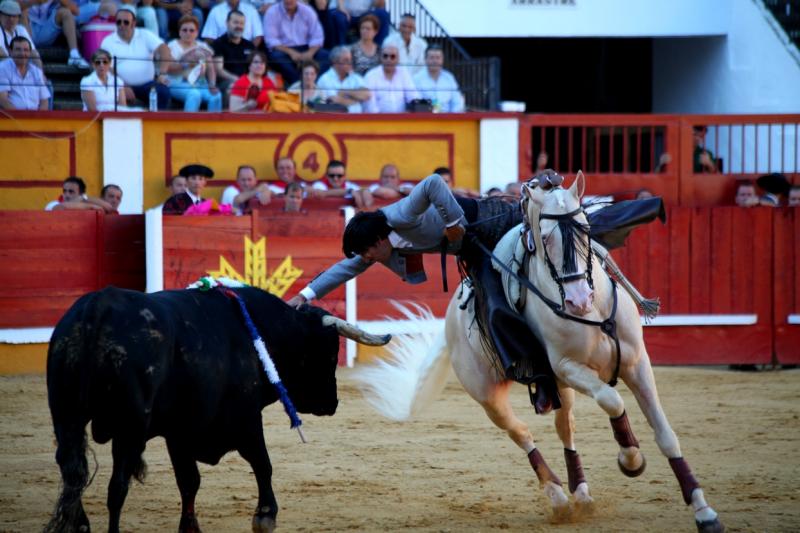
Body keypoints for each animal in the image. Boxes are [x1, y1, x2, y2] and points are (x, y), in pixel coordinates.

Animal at [45, 286, 390, 532]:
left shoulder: (180, 432)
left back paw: (80, 525)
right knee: (117, 485)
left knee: (72, 470)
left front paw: (190, 528)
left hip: (66, 416)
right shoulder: (246, 419)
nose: (332, 403)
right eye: (330, 352)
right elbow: (262, 463)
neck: (259, 332)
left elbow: (189, 481)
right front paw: (266, 515)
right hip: (129, 426)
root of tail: (98, 308)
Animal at [352, 172, 724, 528]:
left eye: (586, 230)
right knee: (522, 433)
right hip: (490, 396)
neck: (592, 314)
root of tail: (449, 324)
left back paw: (581, 494)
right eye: (544, 239)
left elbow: (666, 434)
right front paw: (630, 459)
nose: (578, 300)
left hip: (560, 388)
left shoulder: (636, 364)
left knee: (565, 427)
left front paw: (703, 511)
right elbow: (612, 400)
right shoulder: (567, 367)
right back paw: (558, 497)